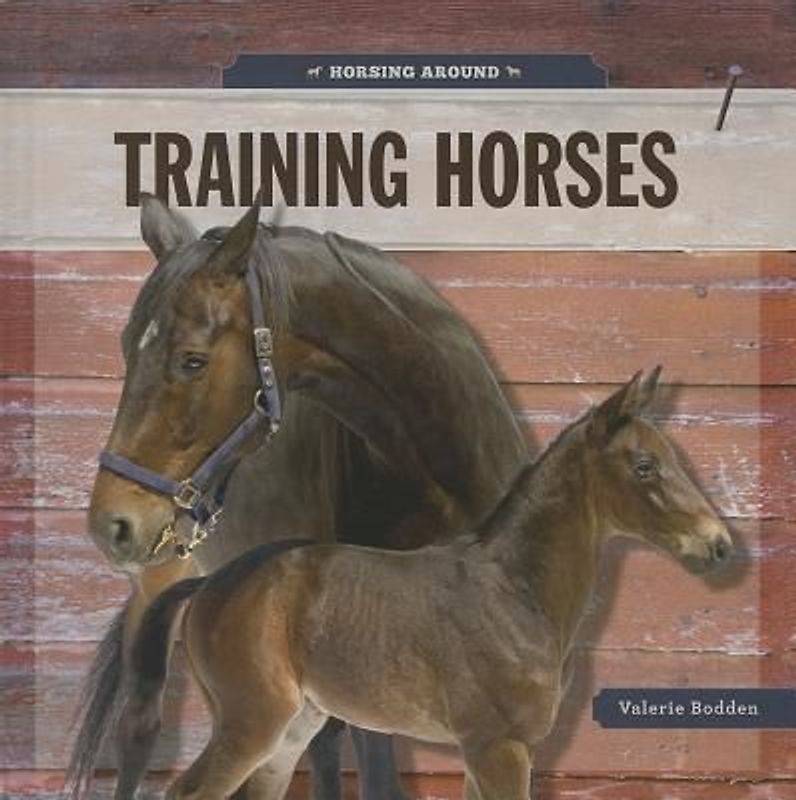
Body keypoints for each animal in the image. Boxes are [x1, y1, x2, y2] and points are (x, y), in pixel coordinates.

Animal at [69, 193, 529, 800]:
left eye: (192, 359)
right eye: (124, 351)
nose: (111, 523)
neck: (439, 469)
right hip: (162, 590)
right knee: (142, 725)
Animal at [115, 368, 734, 800]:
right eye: (645, 466)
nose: (720, 545)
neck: (515, 593)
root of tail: (212, 582)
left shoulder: (489, 751)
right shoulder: (498, 748)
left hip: (291, 729)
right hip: (251, 722)